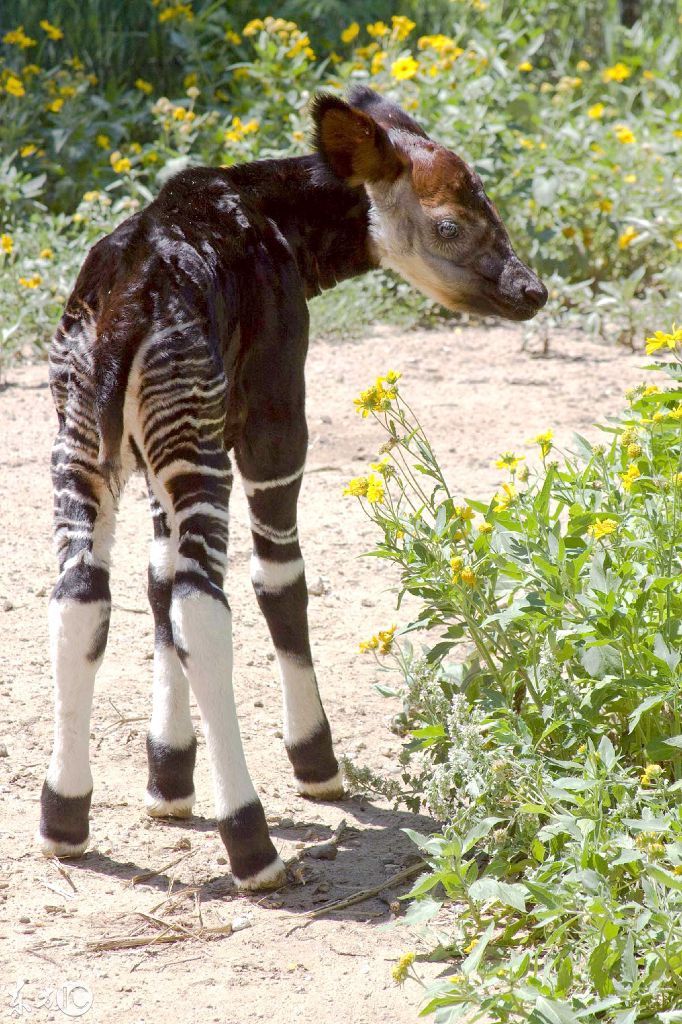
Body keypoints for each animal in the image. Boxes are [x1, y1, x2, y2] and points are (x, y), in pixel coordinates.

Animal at [39, 86, 547, 890]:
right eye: (451, 224)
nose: (533, 290)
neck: (272, 219)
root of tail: (125, 312)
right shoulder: (275, 416)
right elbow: (279, 582)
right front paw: (315, 764)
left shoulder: (148, 459)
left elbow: (155, 583)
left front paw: (168, 782)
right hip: (196, 438)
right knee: (204, 608)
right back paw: (252, 844)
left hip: (84, 437)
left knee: (84, 595)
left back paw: (63, 820)